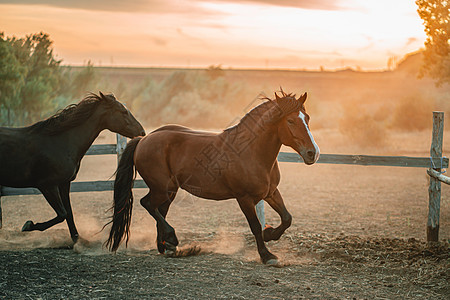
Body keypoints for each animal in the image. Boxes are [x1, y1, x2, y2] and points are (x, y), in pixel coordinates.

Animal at [0, 92, 144, 243]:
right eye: (123, 111)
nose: (142, 132)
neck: (60, 142)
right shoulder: (47, 186)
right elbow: (62, 214)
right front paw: (28, 225)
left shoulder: (64, 183)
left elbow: (69, 213)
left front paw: (77, 240)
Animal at [107, 90, 320, 264]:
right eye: (290, 121)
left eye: (308, 118)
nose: (313, 153)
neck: (251, 152)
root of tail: (143, 139)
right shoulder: (244, 198)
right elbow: (254, 226)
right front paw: (267, 255)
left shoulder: (270, 192)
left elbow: (287, 218)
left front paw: (270, 234)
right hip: (162, 188)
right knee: (148, 204)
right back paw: (172, 239)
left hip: (169, 191)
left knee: (160, 210)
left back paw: (167, 247)